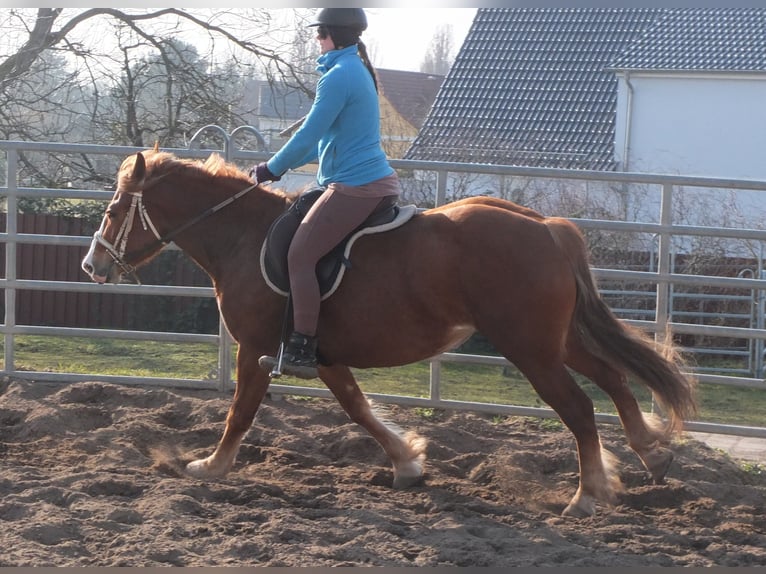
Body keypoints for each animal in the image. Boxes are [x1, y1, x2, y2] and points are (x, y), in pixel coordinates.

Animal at [81, 150, 700, 520]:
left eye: (112, 210)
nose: (92, 265)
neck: (243, 237)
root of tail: (546, 227)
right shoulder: (322, 354)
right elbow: (358, 409)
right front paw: (407, 461)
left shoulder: (257, 348)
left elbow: (240, 412)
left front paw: (209, 467)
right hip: (556, 341)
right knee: (613, 379)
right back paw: (651, 454)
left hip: (531, 350)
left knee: (578, 406)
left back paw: (588, 493)